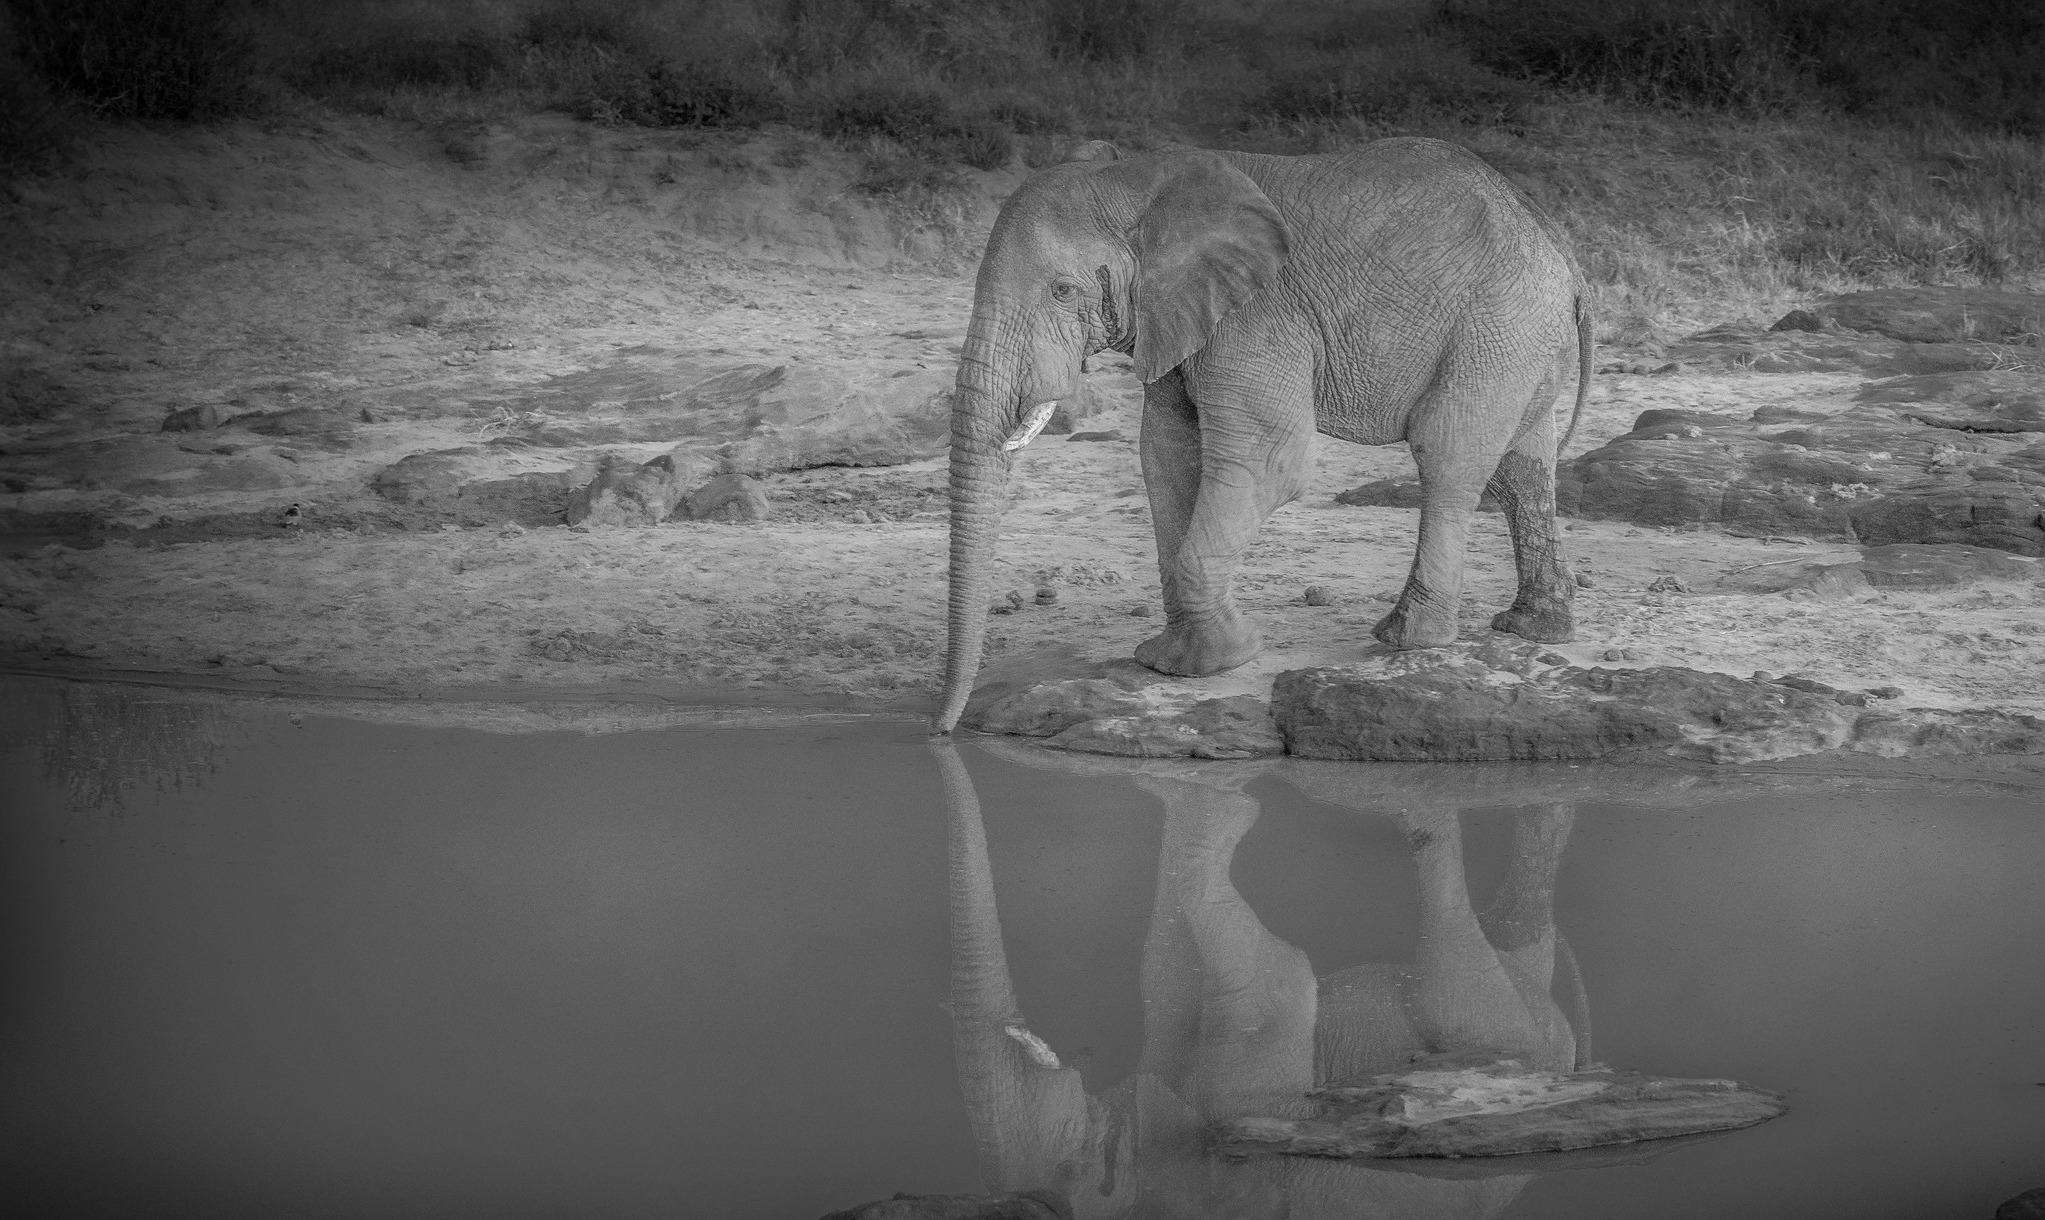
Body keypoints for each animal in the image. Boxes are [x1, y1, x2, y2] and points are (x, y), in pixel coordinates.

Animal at [933, 138, 1591, 732]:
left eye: (1062, 291)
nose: (942, 729)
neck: (1138, 179)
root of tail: (1561, 249)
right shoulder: (1180, 320)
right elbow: (1166, 456)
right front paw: (1170, 661)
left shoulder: (1258, 316)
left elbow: (1270, 460)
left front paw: (1218, 662)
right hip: (1520, 339)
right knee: (1522, 469)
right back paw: (1535, 628)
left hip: (1497, 328)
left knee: (1447, 455)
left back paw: (1406, 640)